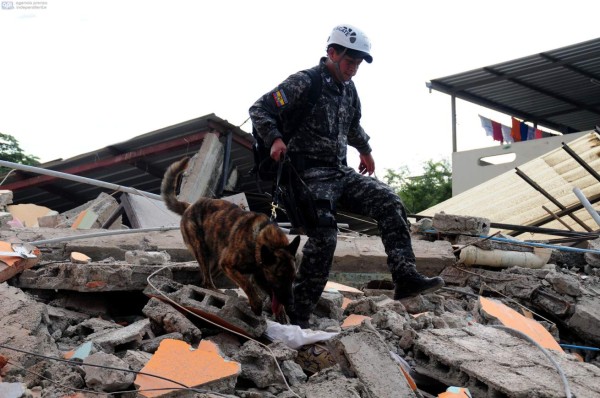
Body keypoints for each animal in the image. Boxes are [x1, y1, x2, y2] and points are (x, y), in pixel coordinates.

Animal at [161, 157, 300, 316]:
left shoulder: (261, 277)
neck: (258, 239)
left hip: (216, 262)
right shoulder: (228, 265)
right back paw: (218, 292)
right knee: (207, 281)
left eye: (293, 278)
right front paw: (256, 304)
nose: (291, 304)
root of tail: (189, 205)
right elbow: (247, 285)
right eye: (280, 277)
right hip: (202, 251)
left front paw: (282, 315)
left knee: (202, 281)